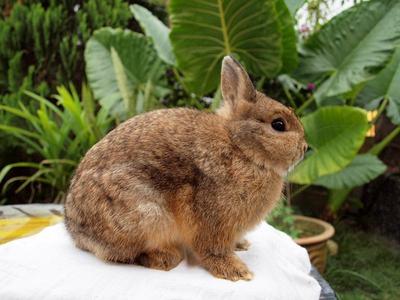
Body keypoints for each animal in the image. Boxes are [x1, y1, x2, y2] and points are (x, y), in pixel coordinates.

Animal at [64, 55, 308, 282]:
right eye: (278, 125)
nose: (305, 148)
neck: (240, 147)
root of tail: (76, 231)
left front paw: (241, 245)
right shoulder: (214, 220)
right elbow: (212, 249)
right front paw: (237, 272)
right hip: (146, 214)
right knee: (129, 254)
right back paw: (167, 258)